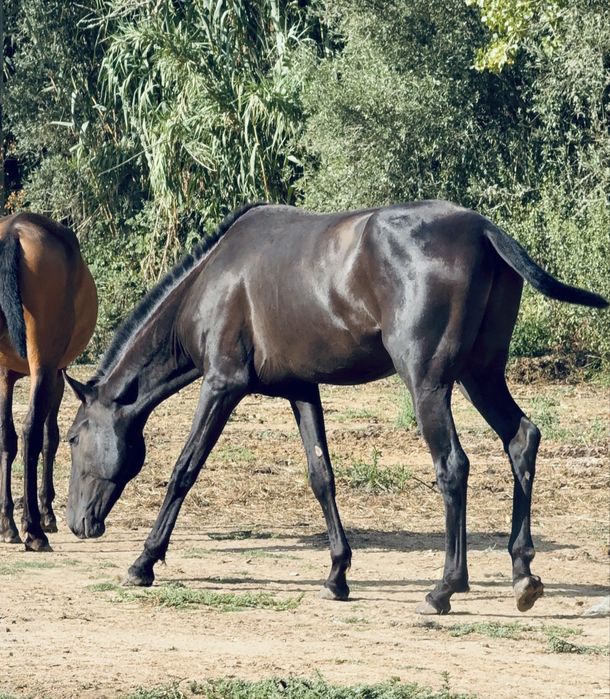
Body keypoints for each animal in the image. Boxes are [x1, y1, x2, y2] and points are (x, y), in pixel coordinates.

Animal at [0, 212, 97, 552]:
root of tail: (14, 231)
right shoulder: (56, 374)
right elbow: (49, 437)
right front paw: (46, 514)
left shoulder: (5, 375)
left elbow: (6, 439)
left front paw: (8, 521)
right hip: (44, 366)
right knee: (31, 430)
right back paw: (34, 531)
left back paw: (13, 526)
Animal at [64, 201, 607, 614]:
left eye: (72, 438)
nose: (76, 524)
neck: (212, 281)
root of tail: (482, 230)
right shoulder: (303, 389)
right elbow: (321, 476)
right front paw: (337, 574)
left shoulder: (221, 385)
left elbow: (184, 469)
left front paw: (143, 562)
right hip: (482, 376)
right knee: (522, 439)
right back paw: (522, 572)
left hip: (430, 385)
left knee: (453, 466)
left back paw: (444, 588)